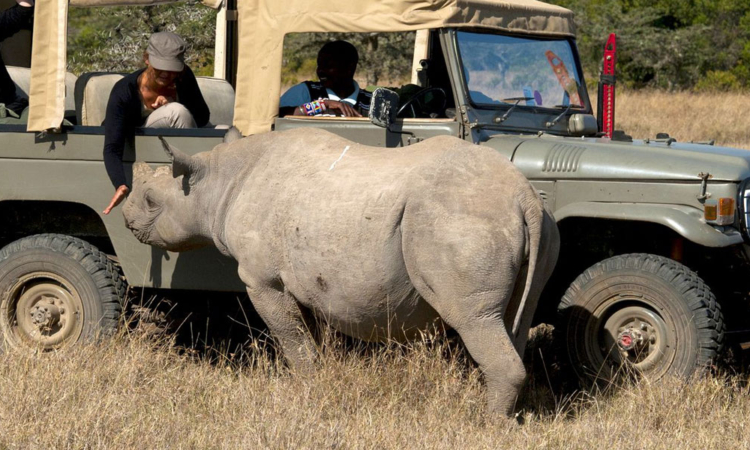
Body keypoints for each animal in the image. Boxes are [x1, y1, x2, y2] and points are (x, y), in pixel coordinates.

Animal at [122, 128, 559, 416]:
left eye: (150, 200)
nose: (125, 218)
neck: (219, 180)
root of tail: (524, 196)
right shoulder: (304, 279)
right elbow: (309, 335)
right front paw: (320, 380)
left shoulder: (263, 279)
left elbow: (290, 336)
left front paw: (303, 389)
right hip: (531, 226)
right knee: (515, 317)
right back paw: (510, 415)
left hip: (460, 221)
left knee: (474, 318)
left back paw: (487, 425)